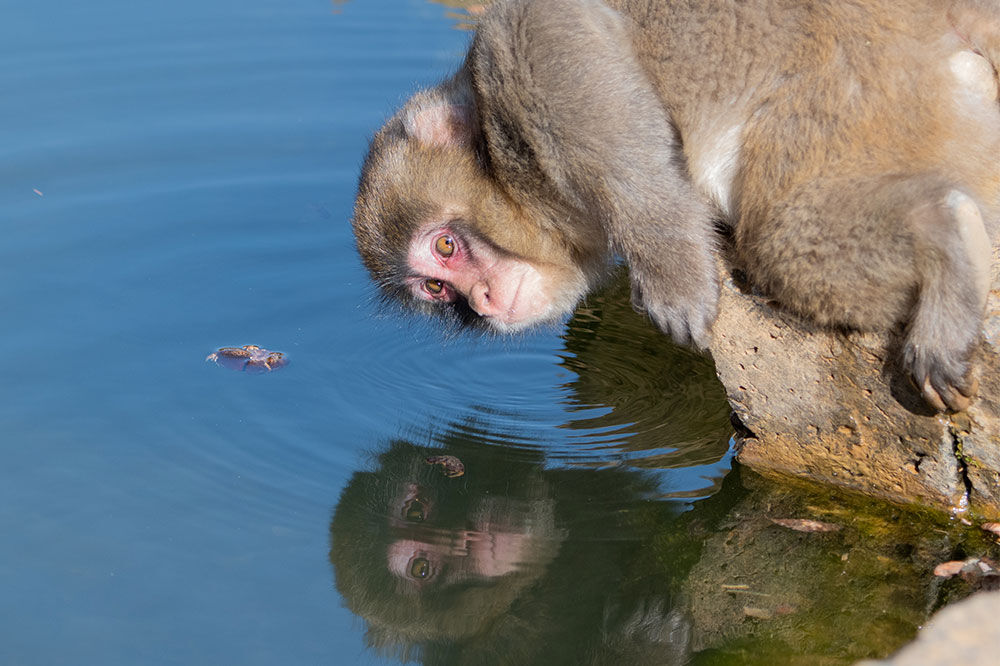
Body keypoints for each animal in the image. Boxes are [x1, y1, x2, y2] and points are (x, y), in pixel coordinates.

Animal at [351, 0, 1000, 413]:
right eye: (438, 289)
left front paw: (674, 275)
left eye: (446, 245)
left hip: (858, 85)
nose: (482, 301)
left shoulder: (515, 74)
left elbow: (561, 35)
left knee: (783, 240)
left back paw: (948, 232)